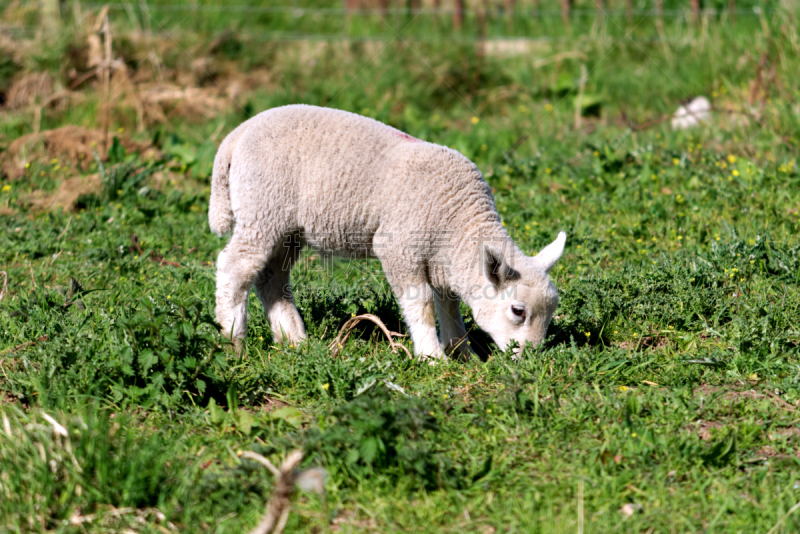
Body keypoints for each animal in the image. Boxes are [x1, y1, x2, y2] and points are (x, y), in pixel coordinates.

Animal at [209, 104, 564, 360]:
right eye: (518, 311)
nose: (531, 359)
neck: (460, 219)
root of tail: (238, 134)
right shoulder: (400, 247)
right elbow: (421, 303)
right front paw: (433, 358)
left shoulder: (442, 261)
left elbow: (449, 307)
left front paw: (463, 354)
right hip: (263, 208)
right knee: (235, 266)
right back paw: (233, 342)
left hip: (287, 227)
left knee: (271, 278)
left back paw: (295, 340)